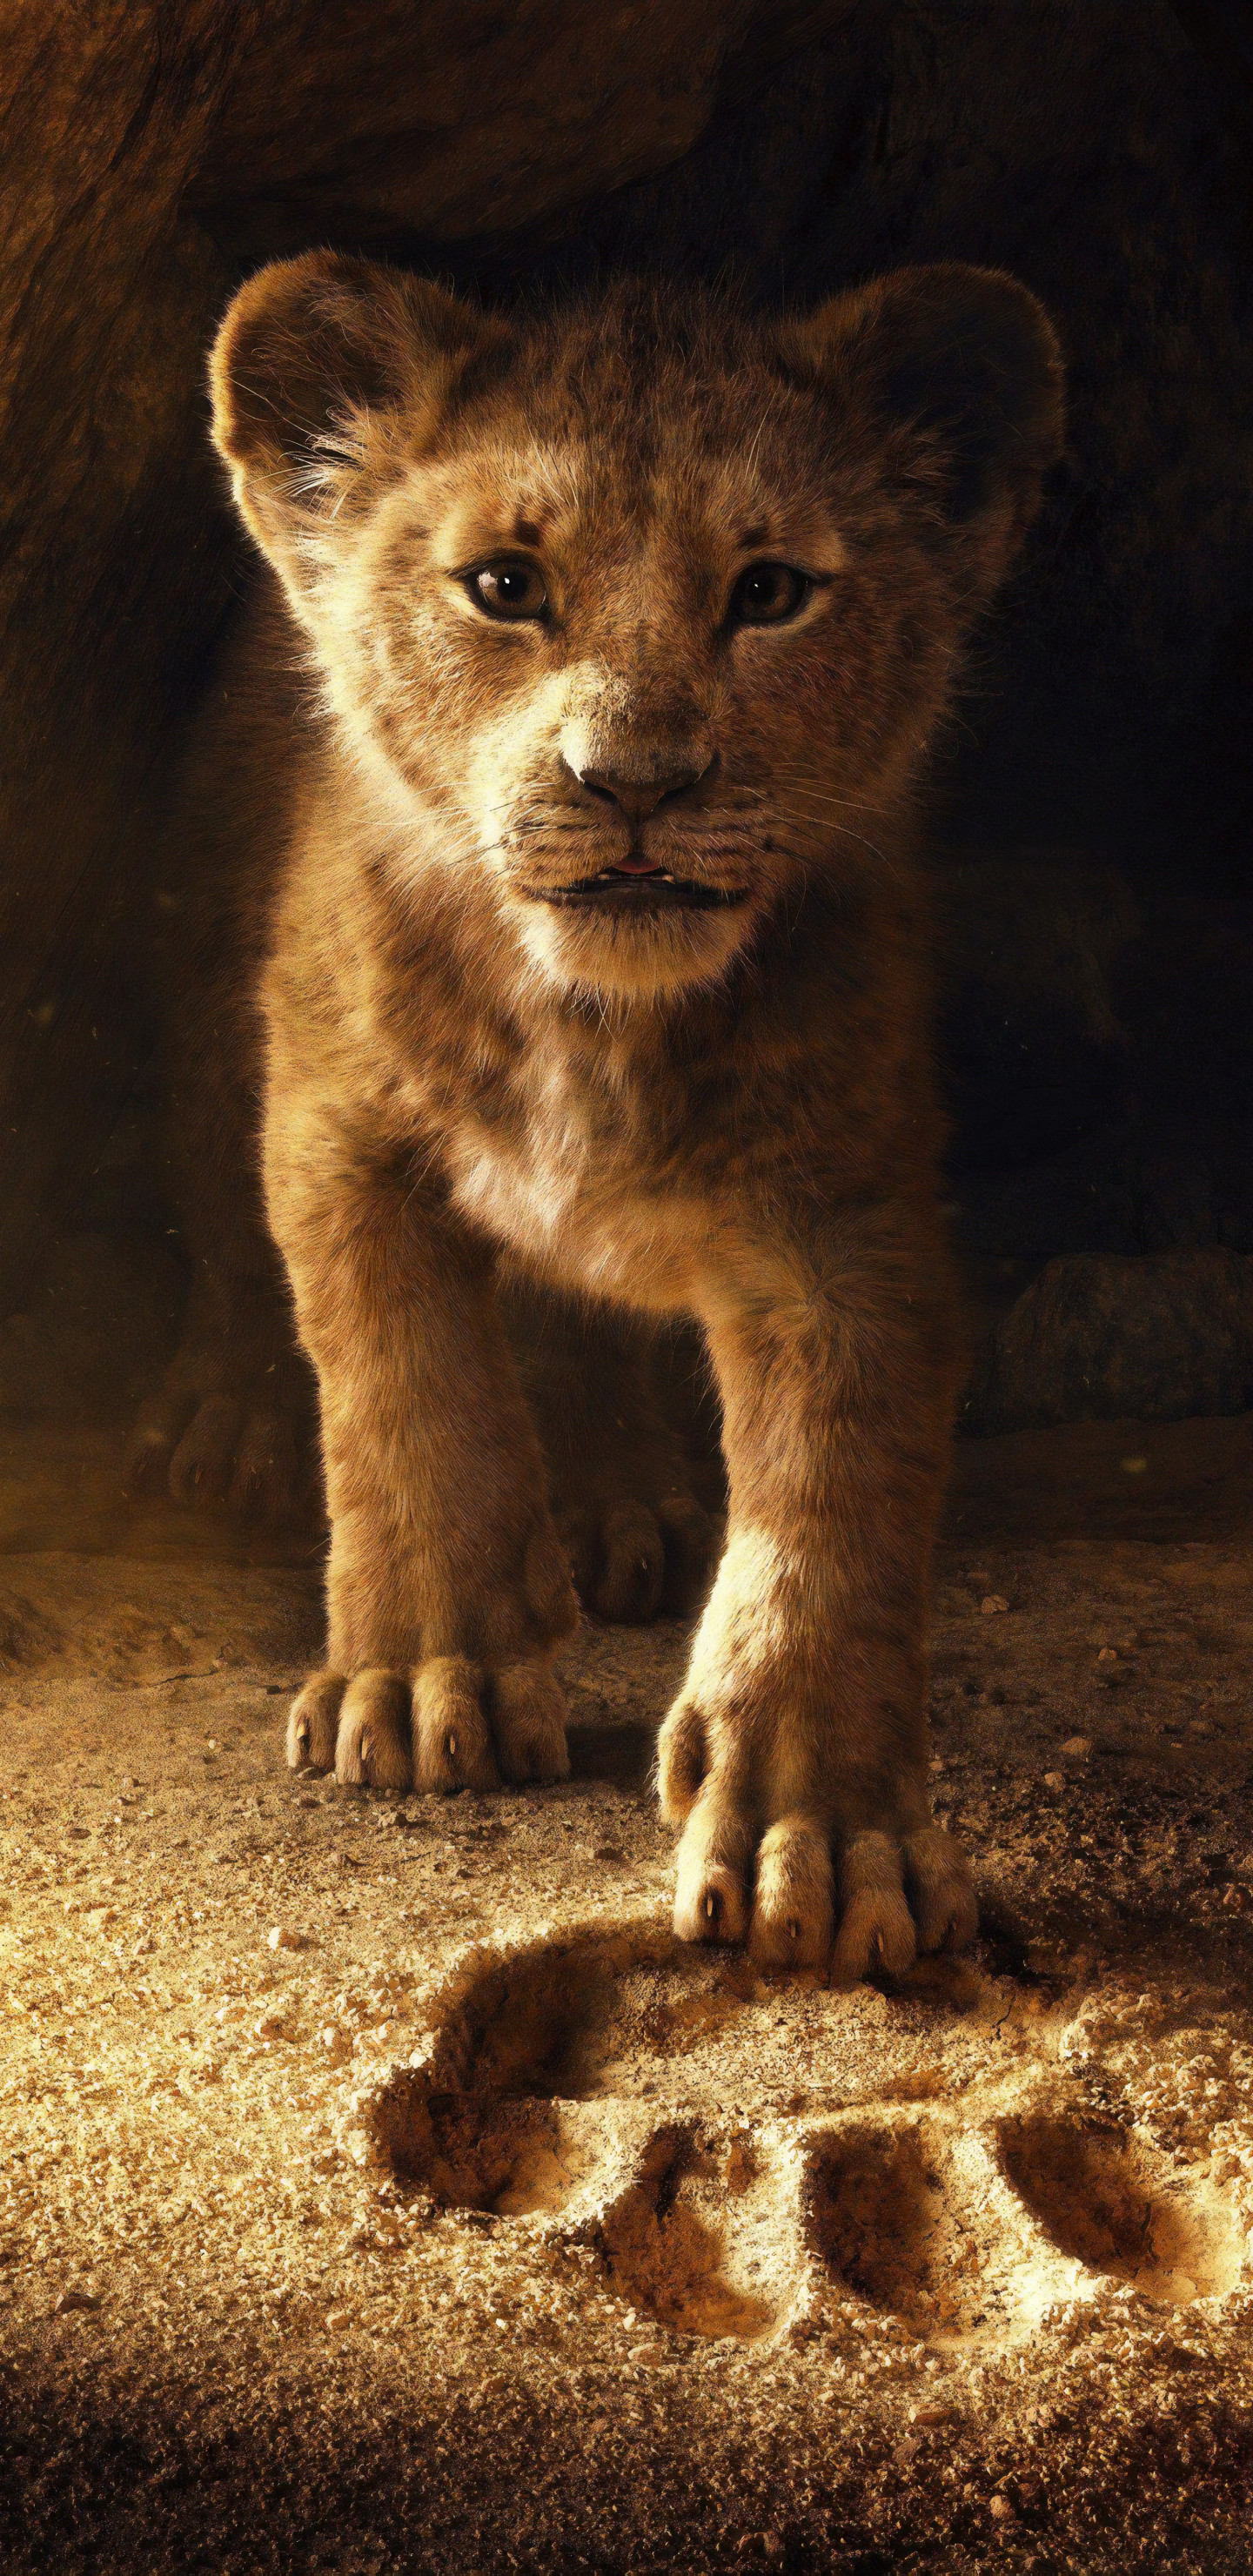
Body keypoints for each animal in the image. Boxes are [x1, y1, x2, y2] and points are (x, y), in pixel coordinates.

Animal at [130, 252, 1063, 1978]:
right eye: (505, 584)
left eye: (770, 592)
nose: (634, 781)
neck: (592, 1020)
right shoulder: (339, 1126)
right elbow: (406, 1395)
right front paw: (423, 1681)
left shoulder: (846, 1215)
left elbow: (832, 1507)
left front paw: (819, 1831)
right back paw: (224, 1422)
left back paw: (622, 1499)